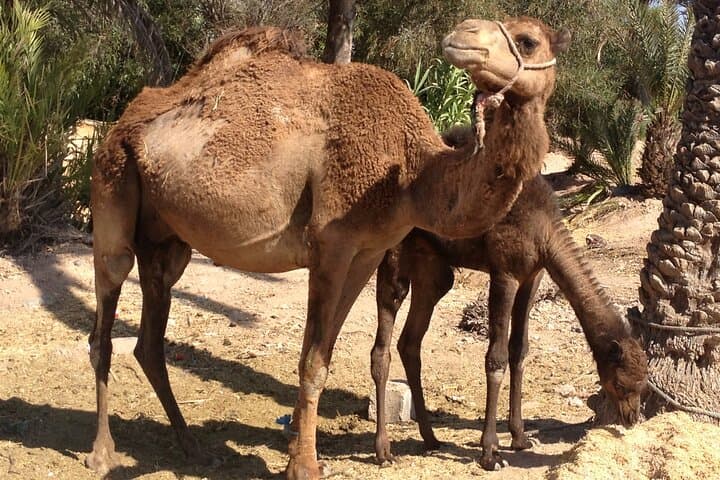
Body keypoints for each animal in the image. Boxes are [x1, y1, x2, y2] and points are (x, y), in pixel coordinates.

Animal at [87, 19, 569, 479]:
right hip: (112, 183)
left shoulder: (367, 253)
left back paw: (192, 447)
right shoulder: (330, 244)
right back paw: (102, 453)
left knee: (150, 336)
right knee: (105, 315)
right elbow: (311, 362)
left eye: (527, 40)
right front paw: (304, 466)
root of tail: (123, 121)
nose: (462, 34)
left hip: (167, 240)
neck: (408, 174)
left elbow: (323, 355)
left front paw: (300, 458)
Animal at [371, 136, 649, 470]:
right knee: (383, 342)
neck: (544, 228)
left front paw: (519, 437)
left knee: (410, 342)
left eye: (644, 383)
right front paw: (490, 452)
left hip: (433, 267)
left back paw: (431, 438)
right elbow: (497, 357)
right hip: (395, 252)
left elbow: (519, 350)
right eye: (621, 384)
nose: (631, 418)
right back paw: (384, 450)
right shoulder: (505, 273)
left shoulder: (532, 276)